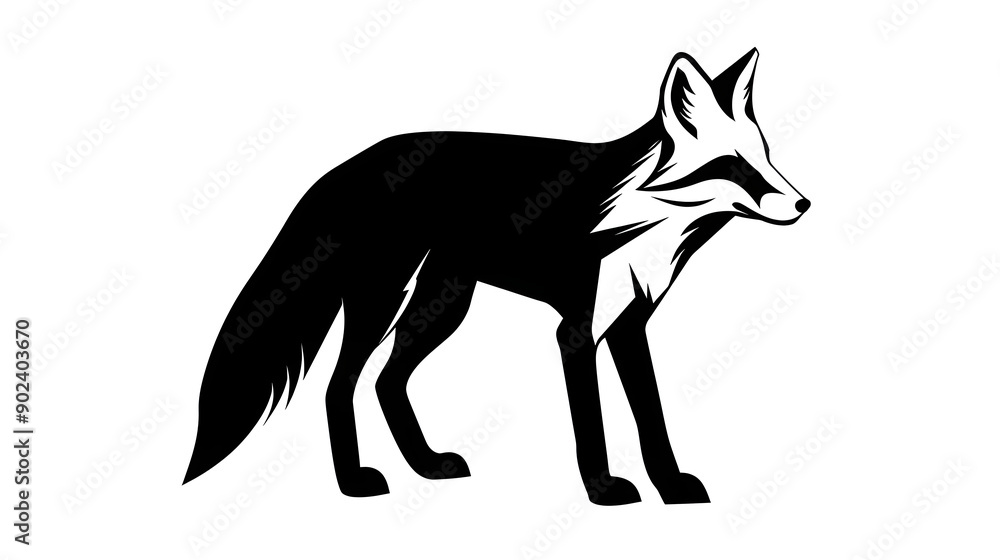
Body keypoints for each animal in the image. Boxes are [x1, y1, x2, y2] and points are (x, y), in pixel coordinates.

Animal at [184, 48, 809, 506]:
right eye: (733, 167)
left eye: (767, 155)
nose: (803, 204)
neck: (633, 217)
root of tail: (351, 162)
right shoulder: (576, 331)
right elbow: (593, 423)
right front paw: (604, 490)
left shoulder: (629, 327)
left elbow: (650, 417)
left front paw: (671, 487)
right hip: (386, 300)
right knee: (342, 385)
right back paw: (355, 482)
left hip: (444, 304)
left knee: (387, 382)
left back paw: (425, 466)